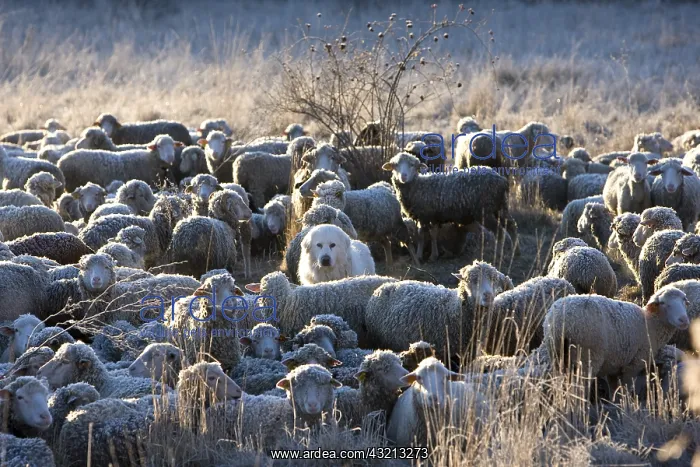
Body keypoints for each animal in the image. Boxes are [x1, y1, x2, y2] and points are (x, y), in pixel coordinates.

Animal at [383, 152, 518, 261]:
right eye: (395, 165)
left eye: (412, 165)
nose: (403, 176)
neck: (418, 185)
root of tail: (501, 179)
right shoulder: (431, 216)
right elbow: (430, 234)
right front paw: (430, 255)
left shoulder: (426, 215)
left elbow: (424, 235)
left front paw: (423, 256)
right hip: (501, 206)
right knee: (512, 226)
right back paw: (516, 251)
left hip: (485, 211)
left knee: (500, 232)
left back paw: (499, 255)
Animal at [543, 287, 689, 389]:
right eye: (664, 303)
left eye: (683, 301)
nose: (684, 320)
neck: (650, 323)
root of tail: (560, 322)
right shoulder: (634, 364)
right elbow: (627, 388)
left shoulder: (614, 366)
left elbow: (615, 391)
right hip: (587, 356)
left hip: (557, 356)